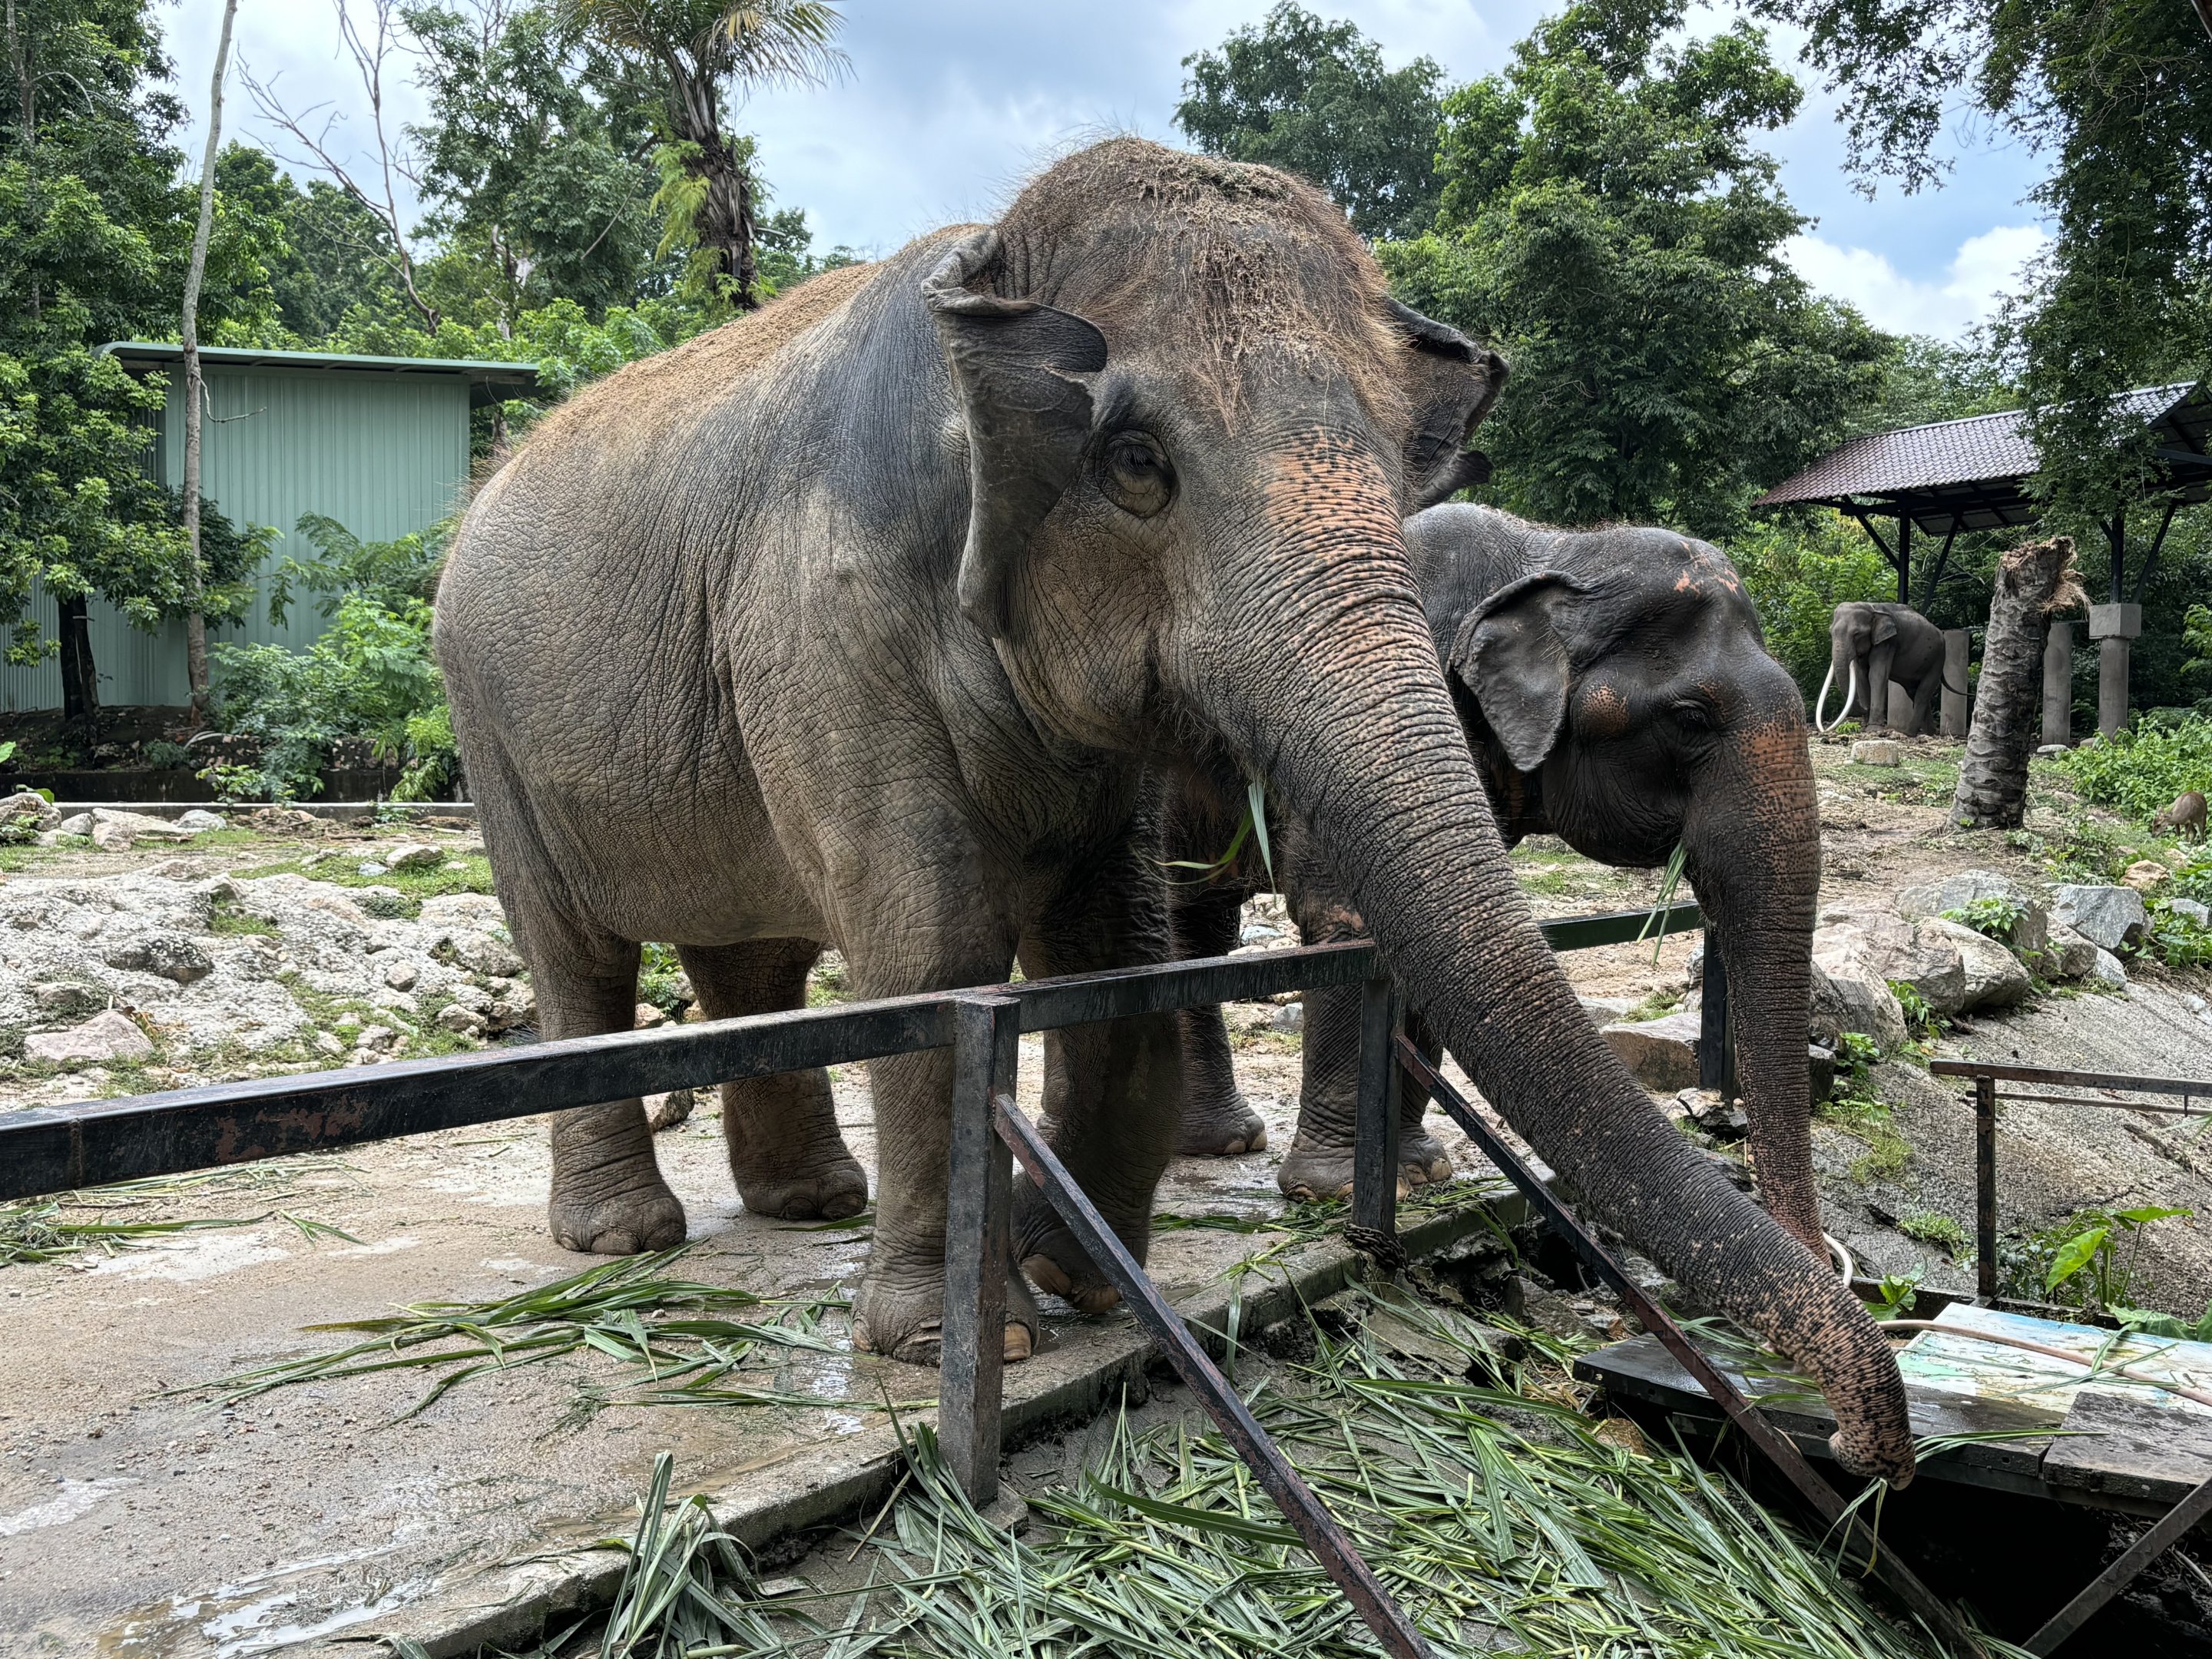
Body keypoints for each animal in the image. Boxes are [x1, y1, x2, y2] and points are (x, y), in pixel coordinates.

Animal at [1170, 506, 1830, 1260]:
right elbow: (1352, 923)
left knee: (1193, 925)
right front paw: (1333, 1192)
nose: (1840, 1273)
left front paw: (1421, 1173)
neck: (1553, 549)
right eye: (1692, 717)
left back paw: (1222, 1142)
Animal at [1815, 601, 1948, 737]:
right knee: (1914, 692)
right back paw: (1930, 733)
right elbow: (1862, 676)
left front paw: (1873, 729)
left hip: (1938, 659)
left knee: (1922, 694)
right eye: (1831, 633)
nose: (1865, 708)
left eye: (1857, 634)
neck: (1872, 607)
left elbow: (1877, 675)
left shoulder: (1887, 643)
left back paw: (1909, 733)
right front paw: (1865, 725)